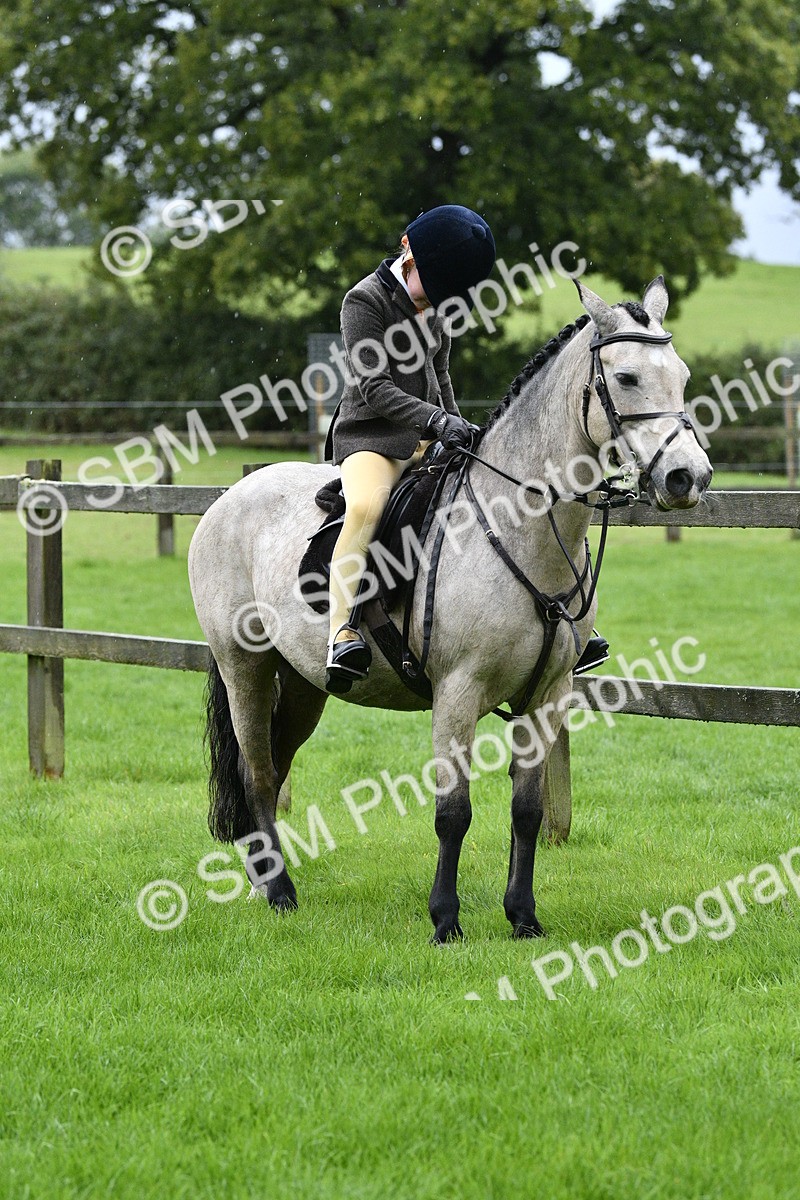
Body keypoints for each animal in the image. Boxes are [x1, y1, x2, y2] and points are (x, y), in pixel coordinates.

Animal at [188, 276, 712, 942]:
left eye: (682, 374)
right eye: (625, 378)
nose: (688, 478)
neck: (518, 524)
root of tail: (231, 496)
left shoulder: (547, 695)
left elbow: (527, 809)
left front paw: (523, 918)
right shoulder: (458, 693)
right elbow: (453, 813)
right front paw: (445, 921)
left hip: (303, 682)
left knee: (276, 766)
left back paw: (264, 882)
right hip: (245, 667)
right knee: (256, 771)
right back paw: (280, 893)